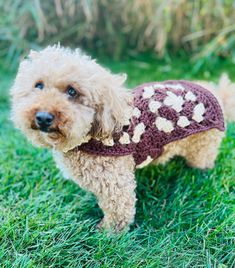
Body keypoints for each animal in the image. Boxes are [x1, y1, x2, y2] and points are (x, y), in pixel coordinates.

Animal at [11, 45, 235, 230]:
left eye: (72, 91)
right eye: (38, 85)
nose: (43, 117)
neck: (89, 138)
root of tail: (215, 92)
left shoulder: (115, 185)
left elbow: (118, 211)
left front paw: (108, 234)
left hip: (202, 146)